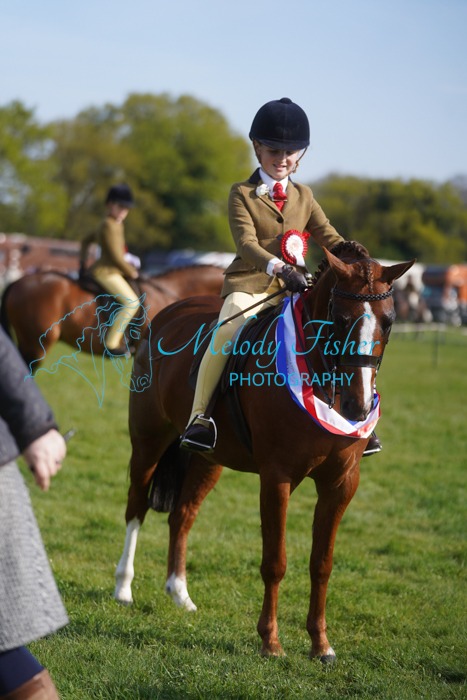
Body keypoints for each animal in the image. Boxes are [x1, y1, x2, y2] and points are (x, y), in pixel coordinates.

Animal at [113, 242, 414, 661]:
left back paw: (179, 593)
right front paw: (270, 642)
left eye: (388, 322)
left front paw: (321, 644)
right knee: (136, 506)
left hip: (209, 459)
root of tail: (168, 314)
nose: (358, 407)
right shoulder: (277, 478)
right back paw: (123, 587)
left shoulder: (341, 484)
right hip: (148, 441)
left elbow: (322, 563)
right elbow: (275, 561)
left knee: (182, 517)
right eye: (340, 318)